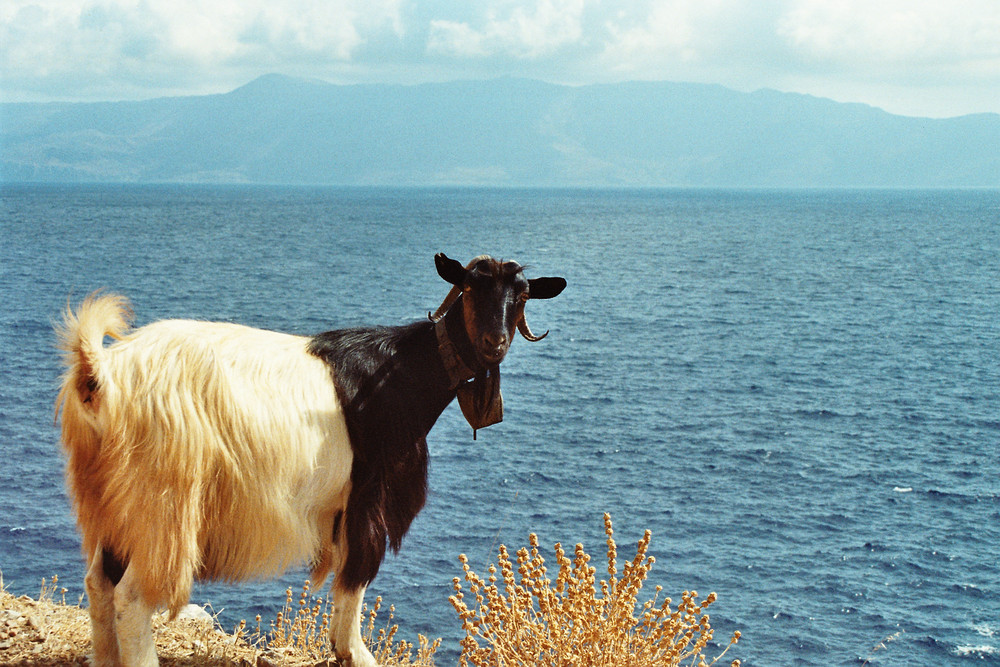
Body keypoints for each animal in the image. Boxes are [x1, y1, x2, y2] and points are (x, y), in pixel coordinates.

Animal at [56, 253, 564, 664]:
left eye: (521, 295)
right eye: (472, 288)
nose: (495, 342)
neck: (404, 371)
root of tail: (100, 375)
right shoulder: (368, 497)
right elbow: (356, 577)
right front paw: (354, 652)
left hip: (113, 503)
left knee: (99, 583)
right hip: (160, 505)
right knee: (131, 597)